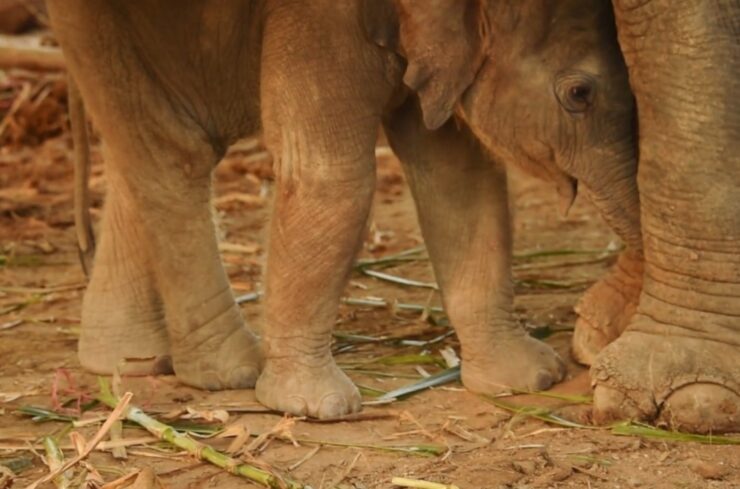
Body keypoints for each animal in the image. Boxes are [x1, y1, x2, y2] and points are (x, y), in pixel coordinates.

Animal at [49, 0, 640, 420]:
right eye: (580, 93)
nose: (590, 348)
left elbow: (461, 175)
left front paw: (529, 380)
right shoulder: (320, 23)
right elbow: (330, 176)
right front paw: (315, 408)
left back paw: (128, 362)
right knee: (173, 151)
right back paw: (229, 370)